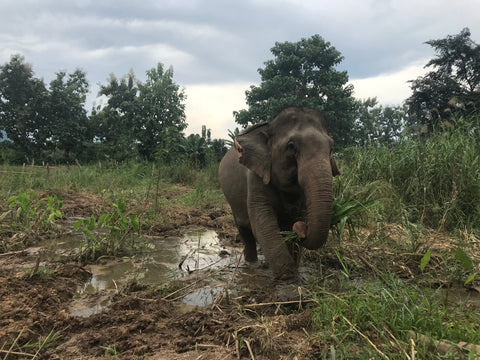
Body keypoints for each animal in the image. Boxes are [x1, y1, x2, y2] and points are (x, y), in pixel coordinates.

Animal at [219, 108, 340, 280]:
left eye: (331, 148)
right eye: (291, 147)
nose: (302, 229)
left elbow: (296, 216)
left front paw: (294, 272)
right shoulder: (256, 176)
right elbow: (262, 222)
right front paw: (287, 277)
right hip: (232, 202)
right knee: (245, 232)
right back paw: (252, 265)